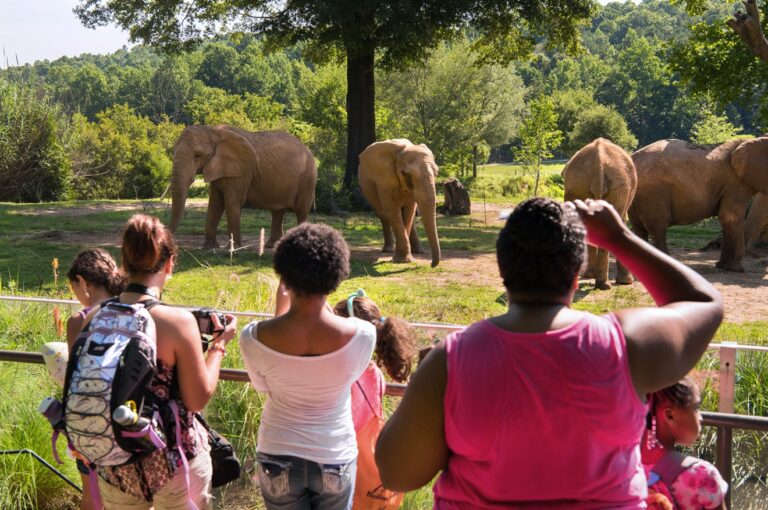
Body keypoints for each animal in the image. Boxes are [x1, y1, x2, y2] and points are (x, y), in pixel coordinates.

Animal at [170, 125, 316, 249]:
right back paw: (271, 246)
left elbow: (231, 202)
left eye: (197, 155)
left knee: (301, 210)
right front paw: (209, 248)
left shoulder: (242, 171)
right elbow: (215, 205)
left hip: (308, 176)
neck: (212, 130)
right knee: (278, 211)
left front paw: (233, 249)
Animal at [632, 135, 768, 270]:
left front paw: (721, 266)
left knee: (639, 229)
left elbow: (726, 219)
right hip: (653, 192)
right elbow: (730, 218)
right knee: (657, 228)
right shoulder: (734, 186)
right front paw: (736, 269)